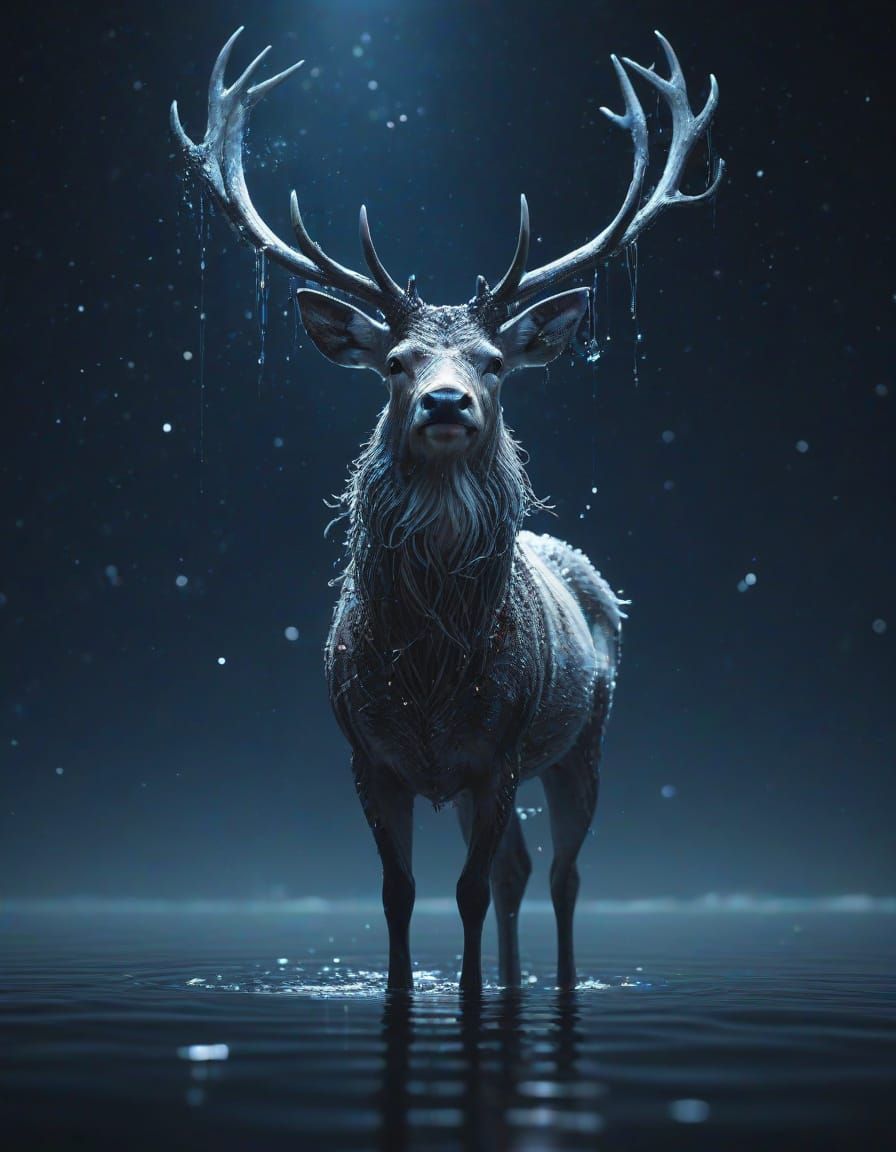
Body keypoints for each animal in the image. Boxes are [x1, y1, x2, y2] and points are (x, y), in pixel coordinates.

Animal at [171, 26, 722, 993]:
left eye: (493, 363)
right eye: (396, 362)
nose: (445, 402)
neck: (428, 668)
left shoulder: (500, 752)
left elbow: (464, 891)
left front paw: (465, 994)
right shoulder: (368, 756)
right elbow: (399, 893)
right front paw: (412, 989)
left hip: (584, 740)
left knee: (562, 873)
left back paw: (553, 980)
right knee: (517, 870)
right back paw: (511, 978)